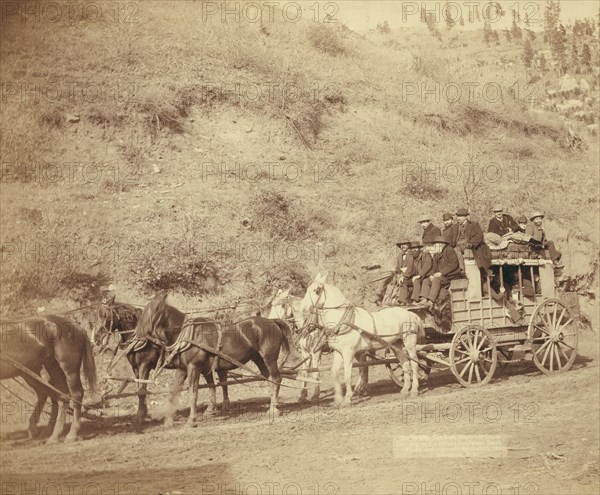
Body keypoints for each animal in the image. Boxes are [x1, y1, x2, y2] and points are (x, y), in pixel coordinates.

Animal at [0, 316, 96, 444]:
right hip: (48, 368)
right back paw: (53, 435)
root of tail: (76, 326)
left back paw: (71, 434)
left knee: (76, 394)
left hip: (69, 369)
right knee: (60, 396)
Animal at [131, 292, 290, 428]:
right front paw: (168, 421)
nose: (137, 334)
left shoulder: (194, 367)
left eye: (154, 309)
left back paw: (274, 410)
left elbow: (193, 393)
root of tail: (273, 322)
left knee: (276, 378)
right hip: (259, 359)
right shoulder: (182, 369)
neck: (187, 335)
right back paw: (272, 406)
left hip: (269, 358)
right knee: (270, 379)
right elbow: (173, 392)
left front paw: (191, 421)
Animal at [298, 274, 422, 404]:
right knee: (405, 364)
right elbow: (334, 372)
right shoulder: (338, 352)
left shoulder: (347, 353)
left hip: (409, 343)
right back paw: (405, 390)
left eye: (316, 290)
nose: (302, 309)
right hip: (396, 345)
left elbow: (347, 375)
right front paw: (338, 398)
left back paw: (414, 390)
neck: (343, 321)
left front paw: (347, 398)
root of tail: (411, 314)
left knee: (414, 364)